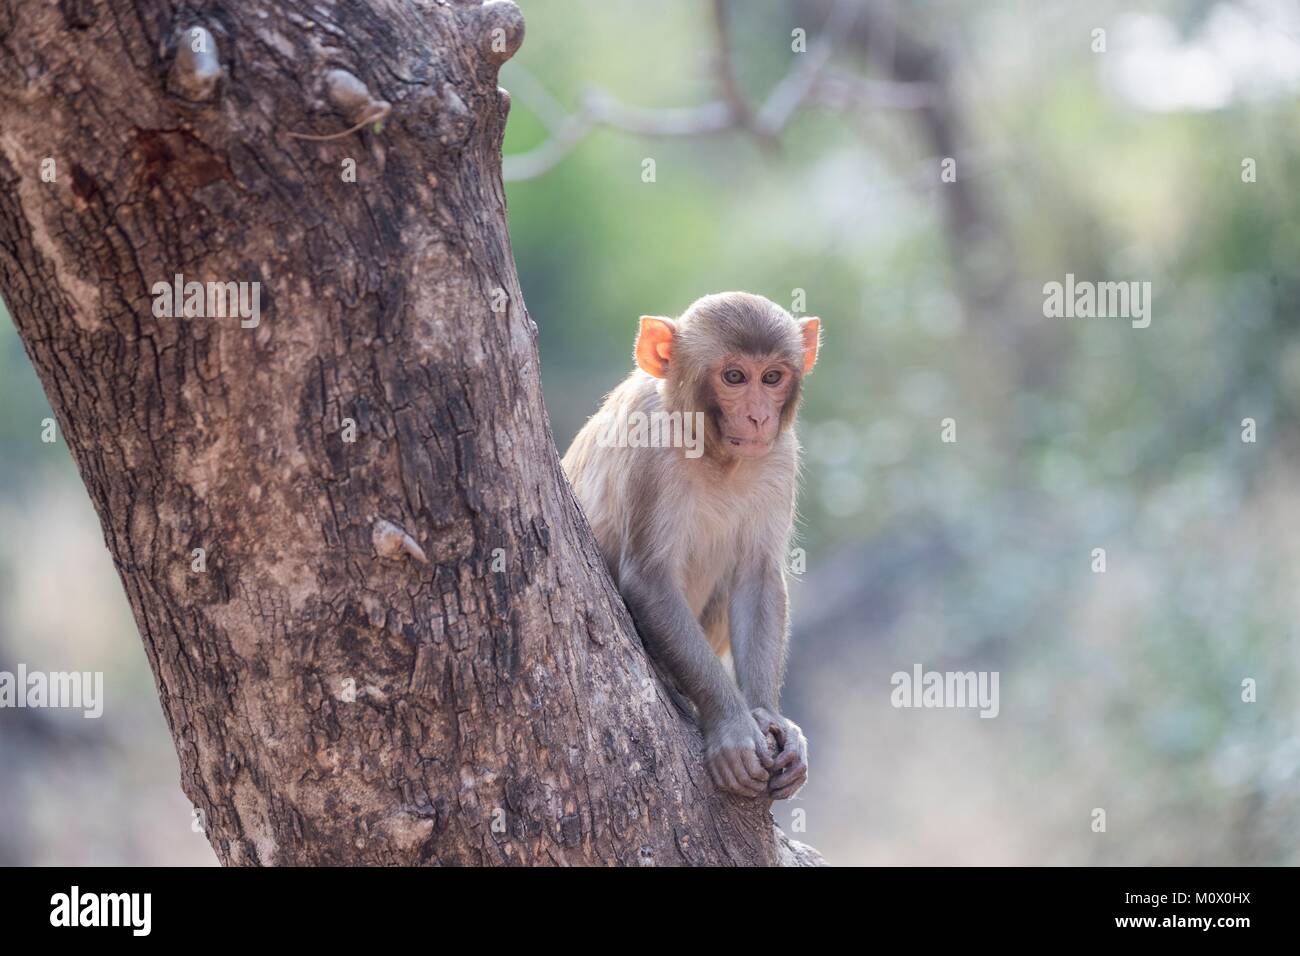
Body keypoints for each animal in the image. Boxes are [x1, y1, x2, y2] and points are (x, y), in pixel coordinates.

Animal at [562, 292, 819, 800]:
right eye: (734, 377)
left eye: (772, 377)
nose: (759, 417)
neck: (713, 450)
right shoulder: (648, 442)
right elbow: (650, 581)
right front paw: (732, 727)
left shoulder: (779, 454)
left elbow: (757, 577)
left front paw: (769, 716)